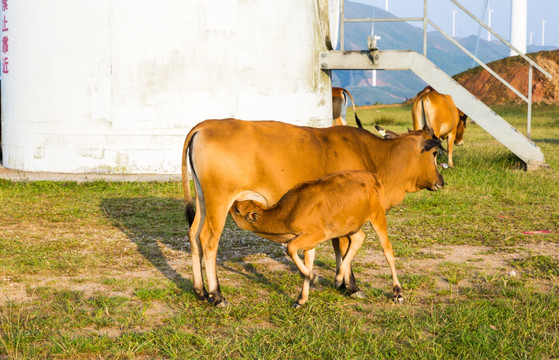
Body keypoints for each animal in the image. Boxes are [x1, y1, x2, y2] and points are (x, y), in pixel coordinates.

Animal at [233, 170, 406, 308]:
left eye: (237, 209)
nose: (232, 203)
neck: (289, 211)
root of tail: (372, 176)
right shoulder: (310, 243)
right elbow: (306, 265)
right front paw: (301, 300)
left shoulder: (316, 235)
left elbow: (291, 249)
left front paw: (314, 277)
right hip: (348, 226)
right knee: (359, 238)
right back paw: (339, 277)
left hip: (377, 216)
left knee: (387, 250)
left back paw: (397, 292)